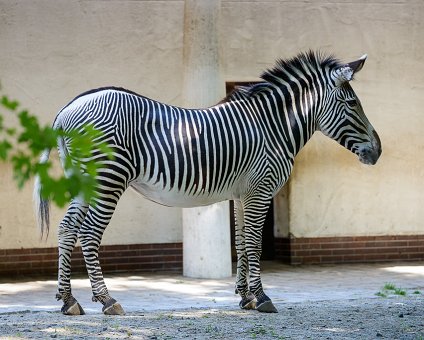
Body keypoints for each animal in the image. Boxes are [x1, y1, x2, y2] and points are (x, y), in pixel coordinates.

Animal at [34, 51, 382, 316]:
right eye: (352, 103)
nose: (378, 151)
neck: (273, 127)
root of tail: (66, 111)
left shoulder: (243, 194)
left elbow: (241, 243)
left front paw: (245, 297)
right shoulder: (261, 190)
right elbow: (254, 243)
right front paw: (263, 298)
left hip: (84, 180)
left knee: (66, 229)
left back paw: (68, 301)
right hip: (107, 178)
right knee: (89, 234)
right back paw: (107, 300)